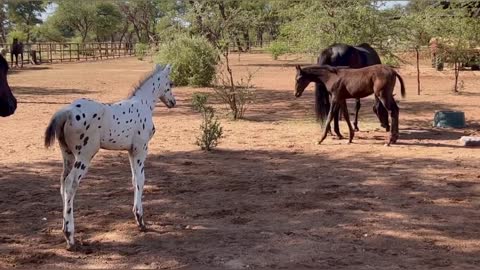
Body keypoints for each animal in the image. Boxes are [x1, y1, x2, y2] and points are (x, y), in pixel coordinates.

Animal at [44, 64, 176, 250]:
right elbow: (141, 180)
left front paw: (138, 218)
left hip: (67, 155)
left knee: (62, 184)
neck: (143, 103)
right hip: (84, 156)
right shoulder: (141, 149)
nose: (173, 102)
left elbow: (134, 180)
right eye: (170, 84)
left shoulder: (131, 151)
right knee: (71, 184)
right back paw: (70, 236)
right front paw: (141, 220)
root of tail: (67, 112)